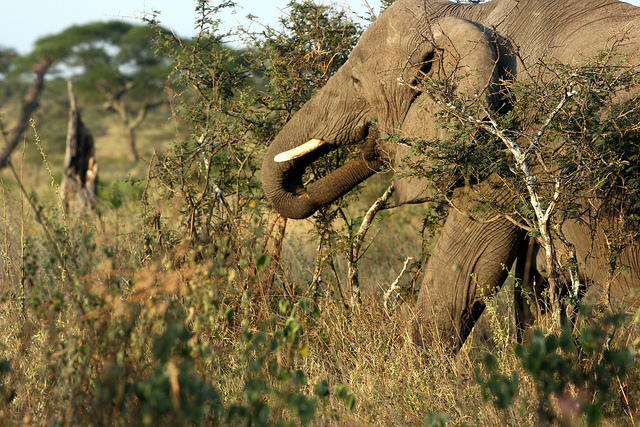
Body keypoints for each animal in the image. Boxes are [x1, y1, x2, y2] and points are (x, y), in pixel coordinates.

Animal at [261, 0, 640, 353]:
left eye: (356, 80)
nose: (375, 144)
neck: (470, 14)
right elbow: (530, 281)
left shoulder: (506, 135)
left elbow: (464, 269)